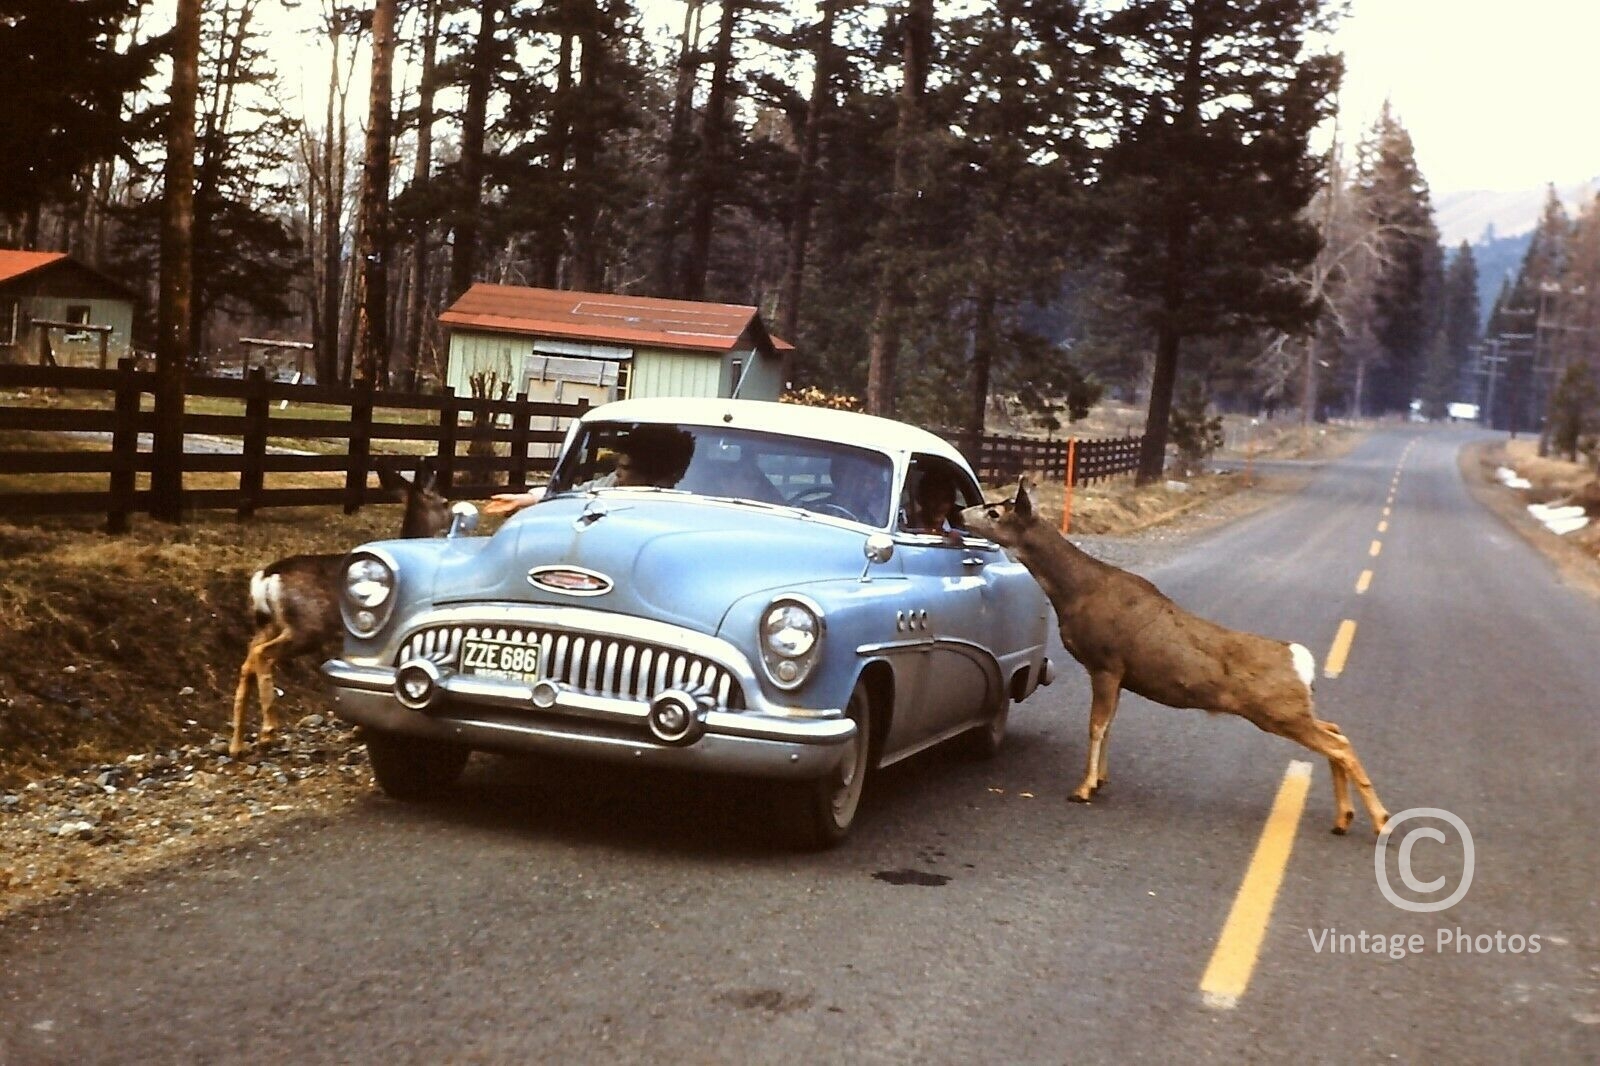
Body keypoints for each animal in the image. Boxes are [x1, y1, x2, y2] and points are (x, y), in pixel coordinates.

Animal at [960, 476, 1388, 832]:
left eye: (995, 512)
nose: (959, 512)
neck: (1076, 592)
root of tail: (1301, 660)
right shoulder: (1118, 675)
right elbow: (1109, 725)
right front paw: (1100, 780)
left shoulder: (1106, 663)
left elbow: (1096, 726)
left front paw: (1082, 788)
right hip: (1291, 708)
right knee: (1336, 730)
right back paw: (1344, 817)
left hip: (1278, 710)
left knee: (1339, 744)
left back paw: (1379, 819)